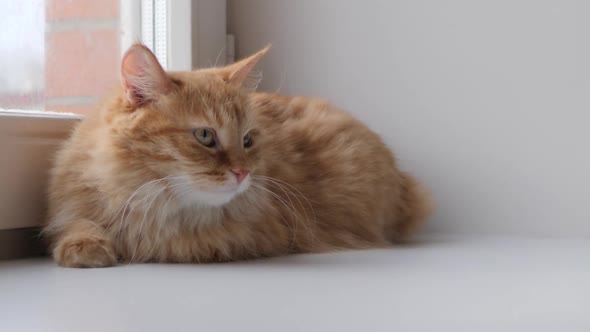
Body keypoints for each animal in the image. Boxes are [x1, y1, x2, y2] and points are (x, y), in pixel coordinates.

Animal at [44, 44, 432, 268]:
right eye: (205, 136)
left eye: (247, 140)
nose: (243, 173)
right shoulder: (76, 200)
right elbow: (79, 221)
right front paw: (85, 245)